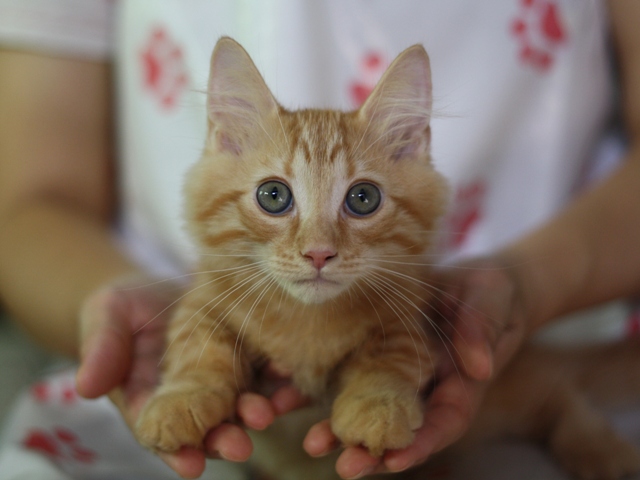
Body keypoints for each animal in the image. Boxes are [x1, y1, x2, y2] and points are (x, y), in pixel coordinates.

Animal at [135, 37, 640, 480]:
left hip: (509, 392)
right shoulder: (203, 296)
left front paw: (376, 405)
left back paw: (600, 448)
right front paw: (180, 398)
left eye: (363, 199)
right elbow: (198, 342)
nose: (319, 252)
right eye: (273, 196)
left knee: (560, 390)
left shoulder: (413, 312)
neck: (306, 325)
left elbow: (390, 353)